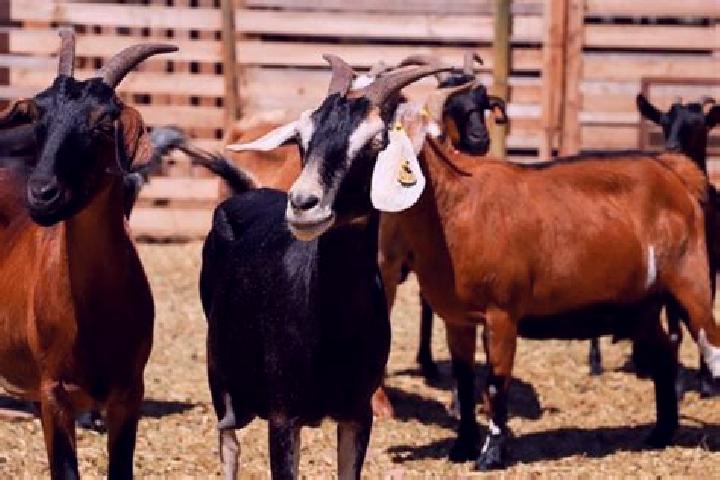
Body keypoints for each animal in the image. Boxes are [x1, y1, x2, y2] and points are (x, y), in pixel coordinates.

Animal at [207, 57, 452, 479]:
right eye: (302, 139)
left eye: (376, 141)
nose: (303, 204)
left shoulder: (356, 413)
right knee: (229, 444)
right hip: (220, 375)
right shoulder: (283, 417)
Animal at [588, 95, 720, 398]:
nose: (671, 149)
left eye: (700, 125)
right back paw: (598, 363)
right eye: (664, 122)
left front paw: (706, 383)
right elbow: (676, 330)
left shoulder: (711, 270)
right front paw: (678, 385)